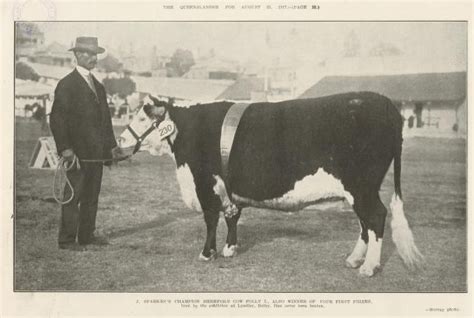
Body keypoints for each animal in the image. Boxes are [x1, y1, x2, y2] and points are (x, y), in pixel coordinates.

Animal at [118, 91, 422, 276]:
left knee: (376, 217)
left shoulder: (205, 183)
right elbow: (232, 216)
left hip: (362, 186)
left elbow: (210, 219)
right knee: (365, 223)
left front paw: (207, 254)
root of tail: (385, 104)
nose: (120, 139)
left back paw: (368, 267)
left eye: (143, 117)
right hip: (358, 190)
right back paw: (354, 259)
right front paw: (230, 249)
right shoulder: (229, 188)